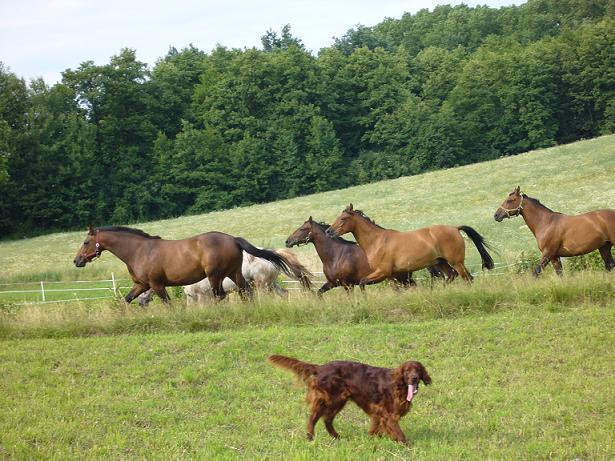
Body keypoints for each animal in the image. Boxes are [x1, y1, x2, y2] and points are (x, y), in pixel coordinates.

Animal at [74, 226, 310, 304]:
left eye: (85, 242)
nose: (77, 261)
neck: (140, 251)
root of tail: (233, 239)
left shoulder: (157, 285)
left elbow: (169, 305)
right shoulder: (142, 285)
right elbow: (126, 300)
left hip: (218, 276)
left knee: (222, 296)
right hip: (236, 275)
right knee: (247, 293)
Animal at [268, 354, 430, 440]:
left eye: (418, 370)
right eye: (407, 370)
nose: (414, 378)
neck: (398, 385)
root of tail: (320, 367)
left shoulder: (378, 412)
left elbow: (376, 427)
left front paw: (372, 437)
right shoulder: (388, 413)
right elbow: (399, 433)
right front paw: (406, 445)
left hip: (339, 400)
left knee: (327, 419)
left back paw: (336, 436)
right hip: (329, 399)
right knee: (314, 418)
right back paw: (310, 437)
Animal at [328, 204, 496, 284]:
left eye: (343, 219)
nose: (329, 231)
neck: (377, 241)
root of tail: (455, 228)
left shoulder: (383, 272)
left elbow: (362, 283)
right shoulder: (391, 276)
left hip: (457, 262)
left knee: (467, 279)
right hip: (441, 262)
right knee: (450, 277)